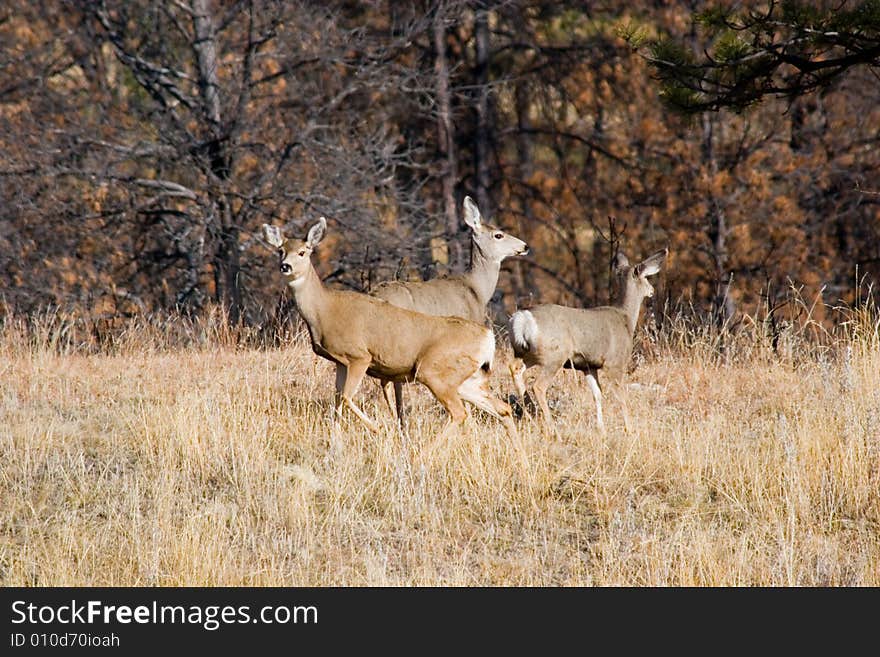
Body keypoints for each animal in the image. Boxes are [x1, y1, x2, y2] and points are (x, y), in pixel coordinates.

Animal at [264, 218, 520, 438]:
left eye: (303, 252)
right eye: (280, 250)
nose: (285, 266)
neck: (324, 310)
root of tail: (487, 337)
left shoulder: (359, 356)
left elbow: (346, 398)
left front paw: (377, 429)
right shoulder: (340, 362)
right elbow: (337, 401)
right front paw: (334, 443)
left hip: (434, 371)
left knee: (459, 412)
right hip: (465, 377)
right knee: (502, 408)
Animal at [508, 247, 668, 430]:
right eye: (647, 277)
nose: (652, 290)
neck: (625, 318)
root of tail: (522, 318)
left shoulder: (588, 366)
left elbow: (597, 394)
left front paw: (601, 428)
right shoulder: (615, 363)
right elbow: (621, 397)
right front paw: (630, 428)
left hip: (526, 352)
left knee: (515, 369)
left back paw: (529, 414)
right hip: (554, 355)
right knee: (539, 386)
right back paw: (551, 427)